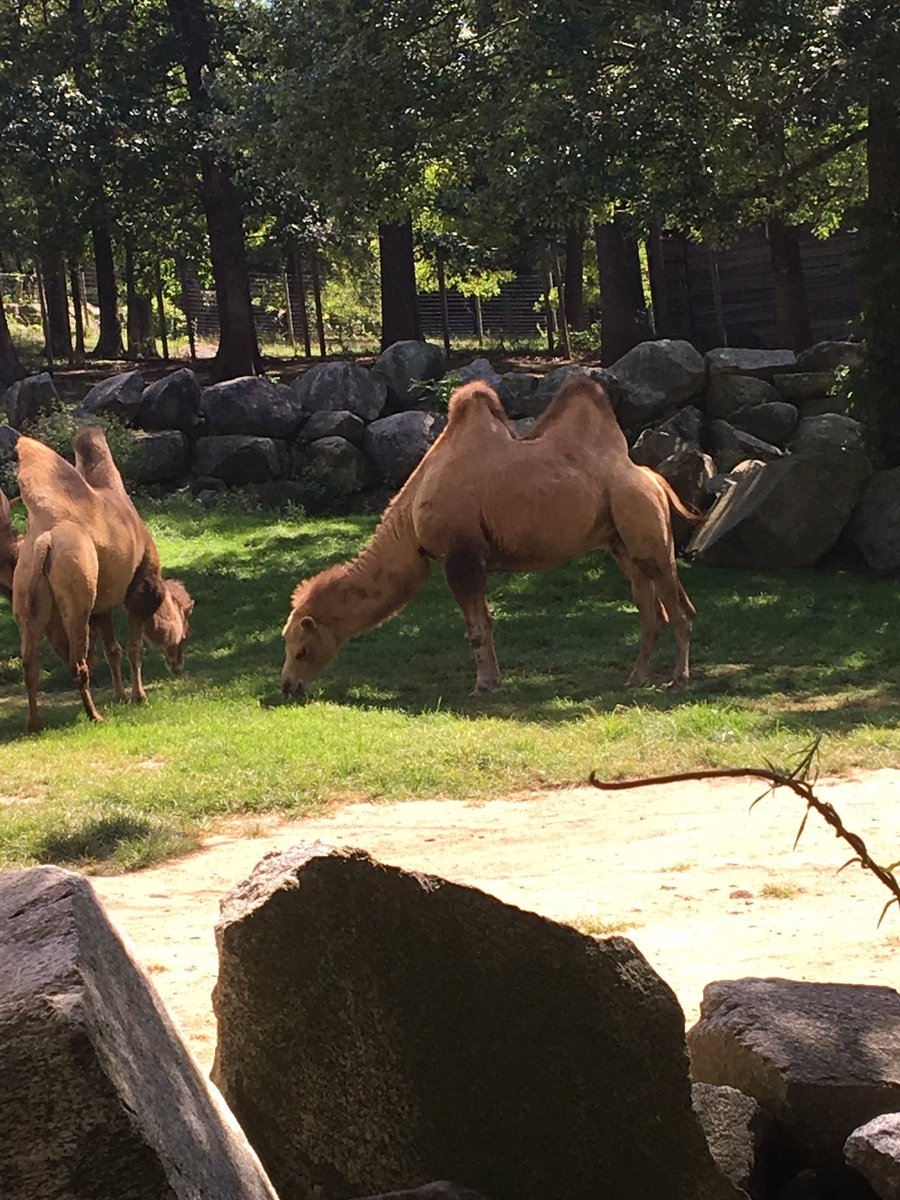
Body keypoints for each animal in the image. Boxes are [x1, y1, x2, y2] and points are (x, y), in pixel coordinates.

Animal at [12, 427, 194, 732]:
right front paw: (139, 696)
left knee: (30, 662)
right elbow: (133, 647)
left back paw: (35, 722)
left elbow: (113, 649)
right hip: (77, 593)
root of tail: (44, 540)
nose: (179, 665)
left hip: (25, 590)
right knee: (77, 662)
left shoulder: (103, 605)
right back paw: (94, 715)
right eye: (185, 630)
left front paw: (120, 696)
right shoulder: (139, 590)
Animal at [282, 373, 699, 699]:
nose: (288, 687)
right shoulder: (474, 560)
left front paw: (481, 686)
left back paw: (678, 681)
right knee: (650, 609)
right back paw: (636, 678)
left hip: (644, 525)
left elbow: (477, 630)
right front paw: (495, 681)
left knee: (678, 608)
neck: (411, 516)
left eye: (301, 650)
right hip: (621, 542)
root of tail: (653, 479)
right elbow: (488, 622)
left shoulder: (460, 556)